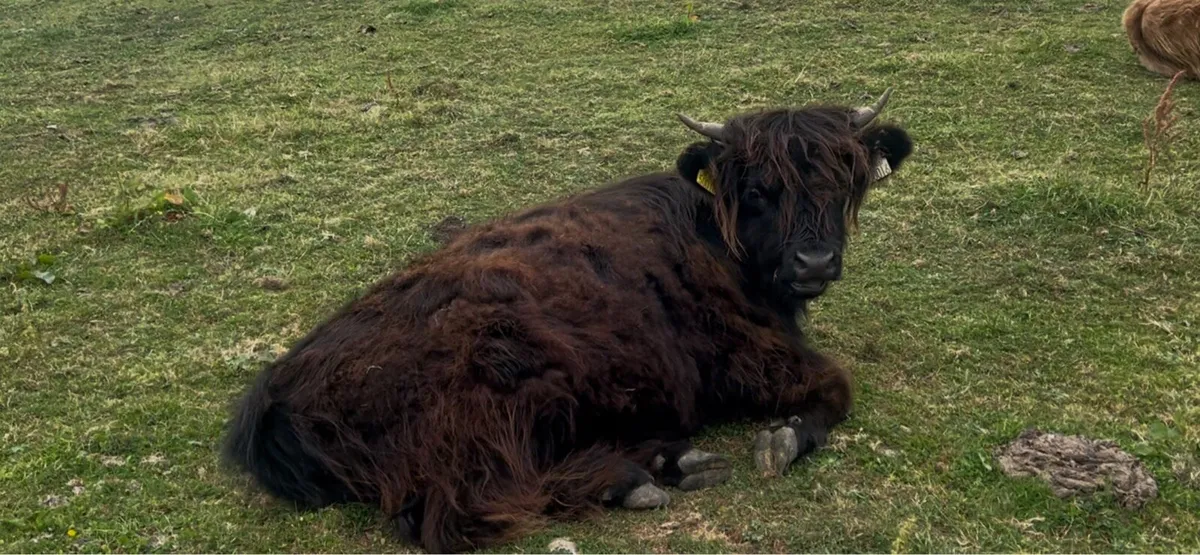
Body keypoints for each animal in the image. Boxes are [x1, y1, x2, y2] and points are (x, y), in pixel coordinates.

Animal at [221, 90, 914, 553]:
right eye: (757, 190)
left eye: (844, 181)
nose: (815, 261)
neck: (710, 232)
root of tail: (276, 395)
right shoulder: (748, 356)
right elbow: (836, 386)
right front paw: (784, 439)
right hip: (503, 402)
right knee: (453, 513)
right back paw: (635, 478)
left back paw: (672, 461)